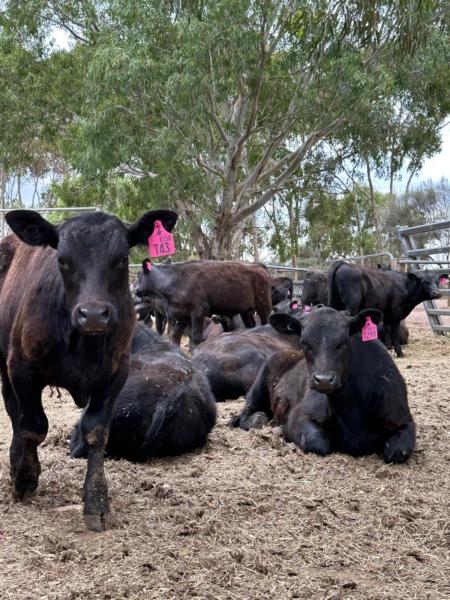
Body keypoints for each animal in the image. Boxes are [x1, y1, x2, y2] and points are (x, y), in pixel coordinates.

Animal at [0, 207, 178, 528]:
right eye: (62, 260)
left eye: (122, 258)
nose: (93, 315)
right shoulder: (21, 368)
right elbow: (32, 426)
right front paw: (25, 476)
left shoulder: (115, 374)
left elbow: (96, 432)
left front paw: (96, 502)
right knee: (13, 412)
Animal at [234, 308, 416, 462]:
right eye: (304, 342)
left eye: (344, 341)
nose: (323, 379)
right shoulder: (299, 415)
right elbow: (318, 443)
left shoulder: (403, 419)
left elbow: (397, 452)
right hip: (259, 385)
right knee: (245, 414)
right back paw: (258, 419)